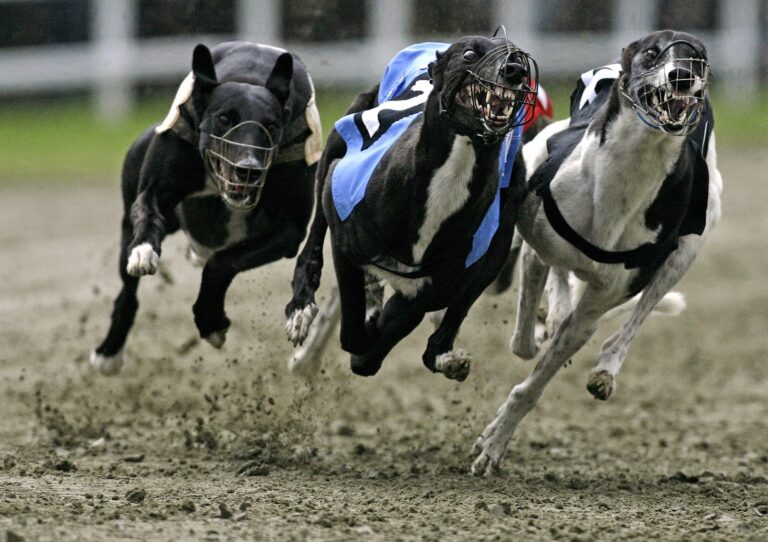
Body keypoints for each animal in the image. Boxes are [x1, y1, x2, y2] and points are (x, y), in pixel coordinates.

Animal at [90, 40, 320, 376]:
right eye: (224, 118)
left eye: (272, 126)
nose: (248, 170)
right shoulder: (154, 189)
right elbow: (147, 211)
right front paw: (145, 248)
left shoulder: (289, 232)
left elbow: (222, 263)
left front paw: (211, 321)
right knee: (127, 293)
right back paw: (109, 351)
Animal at [284, 36, 540, 382]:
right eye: (470, 54)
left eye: (516, 55)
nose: (514, 71)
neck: (455, 167)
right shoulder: (343, 233)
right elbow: (353, 331)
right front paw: (364, 321)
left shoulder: (433, 289)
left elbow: (378, 343)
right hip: (338, 143)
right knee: (313, 241)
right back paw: (302, 307)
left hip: (498, 239)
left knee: (446, 323)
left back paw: (442, 355)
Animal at [472, 30, 724, 476]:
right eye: (652, 53)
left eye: (699, 58)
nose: (682, 76)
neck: (623, 181)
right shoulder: (537, 244)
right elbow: (524, 341)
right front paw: (545, 319)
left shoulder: (595, 309)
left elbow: (537, 377)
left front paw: (494, 442)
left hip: (688, 248)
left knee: (638, 314)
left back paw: (605, 367)